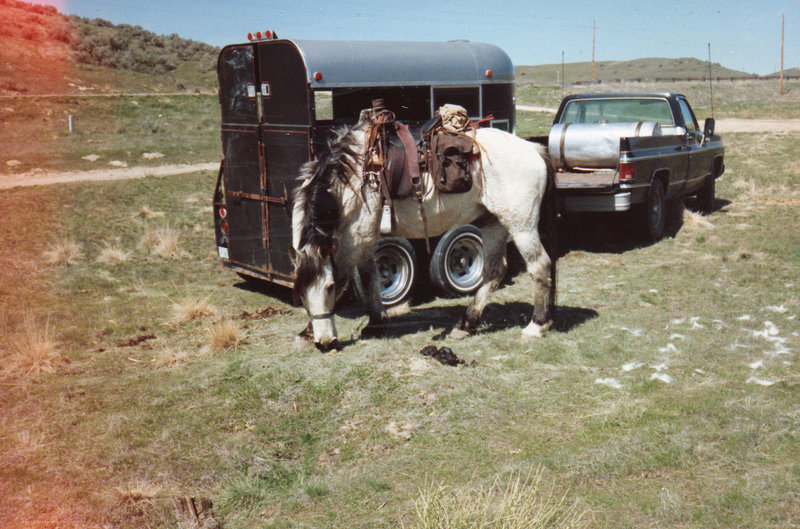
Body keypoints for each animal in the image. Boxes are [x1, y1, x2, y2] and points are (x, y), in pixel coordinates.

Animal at [289, 119, 556, 351]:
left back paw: (536, 326)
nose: (325, 343)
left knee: (540, 266)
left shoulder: (354, 241)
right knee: (494, 271)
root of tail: (533, 149)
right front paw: (375, 323)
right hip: (494, 224)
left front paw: (307, 332)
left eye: (328, 287)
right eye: (300, 293)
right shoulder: (364, 241)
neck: (352, 179)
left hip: (521, 226)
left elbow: (345, 278)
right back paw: (466, 324)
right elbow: (371, 279)